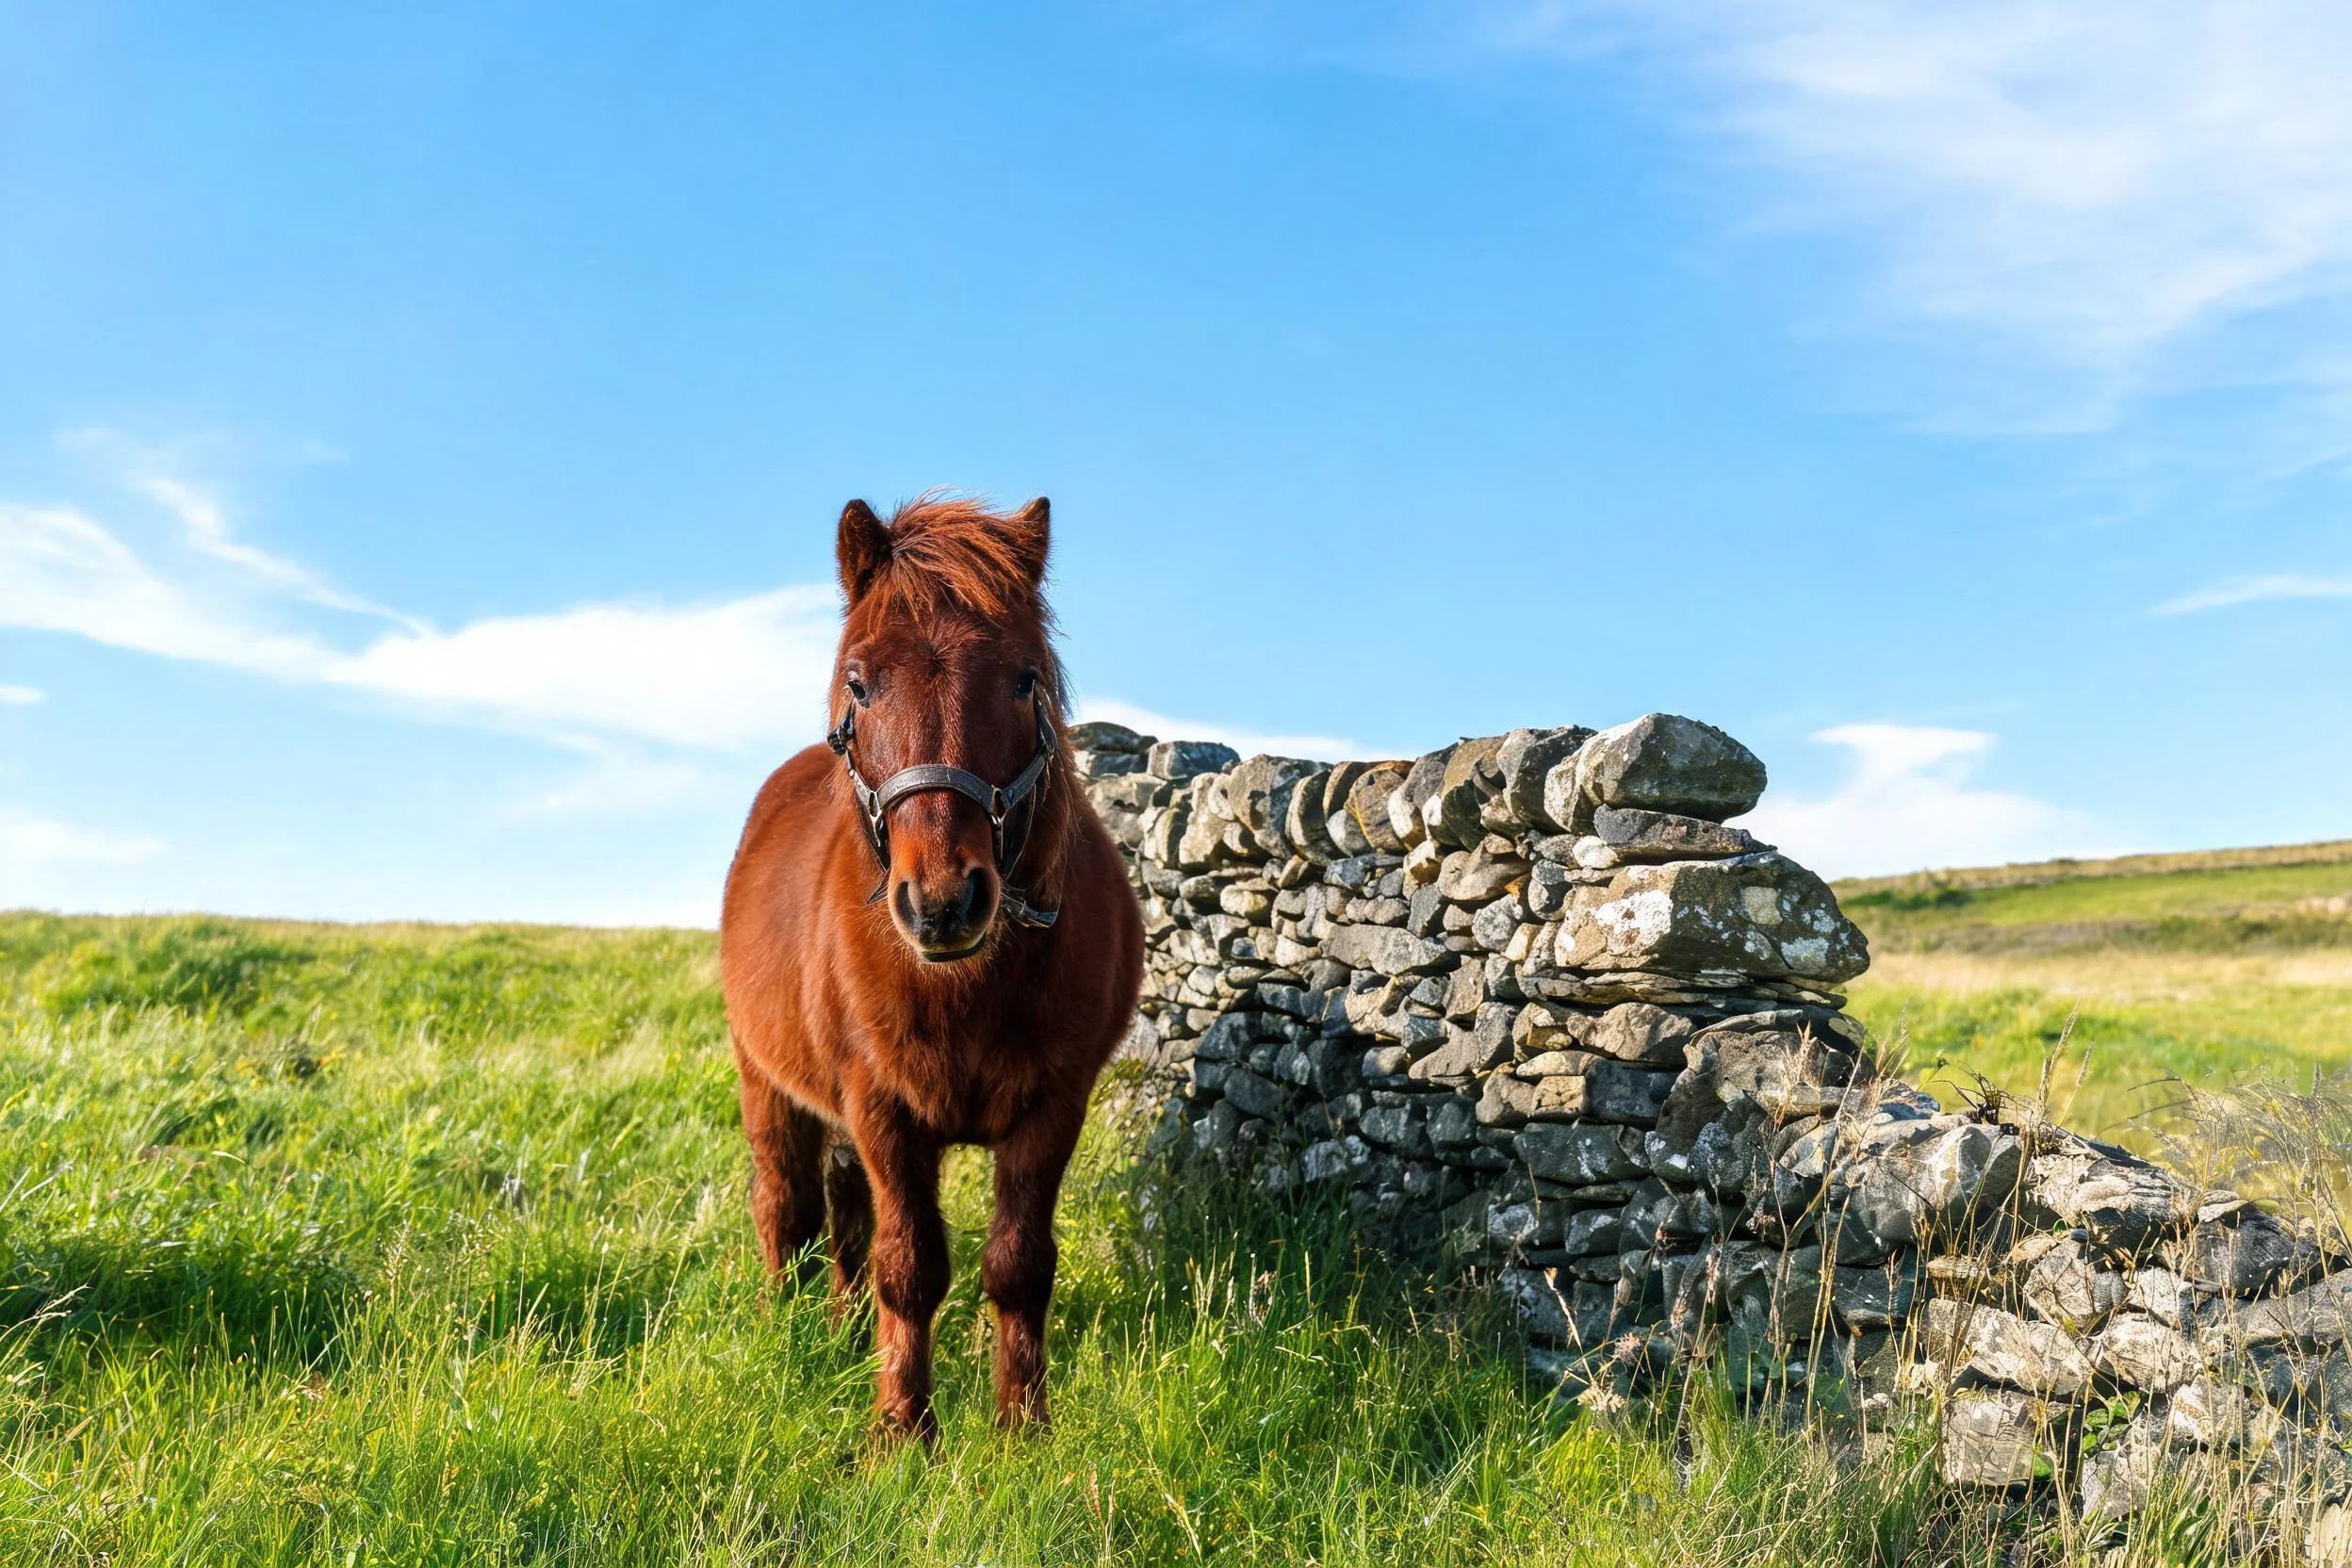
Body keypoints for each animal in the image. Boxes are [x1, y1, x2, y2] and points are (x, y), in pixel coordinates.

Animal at [719, 493, 1144, 1439]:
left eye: (1024, 679)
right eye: (860, 683)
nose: (945, 901)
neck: (964, 984)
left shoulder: (1052, 1107)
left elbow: (1017, 1265)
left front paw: (1022, 1429)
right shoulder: (883, 1110)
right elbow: (908, 1266)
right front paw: (901, 1433)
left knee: (842, 1221)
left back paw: (842, 1339)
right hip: (768, 1086)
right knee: (787, 1209)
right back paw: (782, 1334)